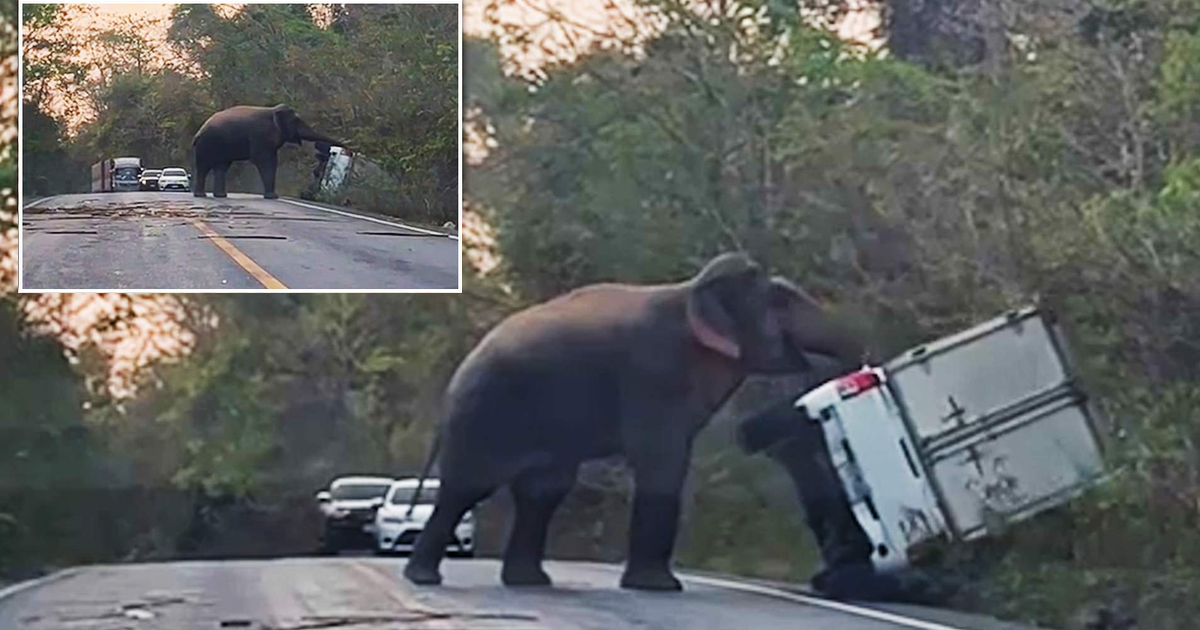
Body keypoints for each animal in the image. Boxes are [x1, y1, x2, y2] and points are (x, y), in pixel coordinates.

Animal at [189, 103, 345, 199]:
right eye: (296, 121)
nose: (346, 148)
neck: (272, 111)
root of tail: (198, 133)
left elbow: (272, 161)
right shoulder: (260, 135)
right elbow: (264, 161)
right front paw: (273, 197)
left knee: (222, 167)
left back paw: (220, 196)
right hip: (207, 144)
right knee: (204, 167)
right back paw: (201, 195)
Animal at [405, 250, 873, 590]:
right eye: (780, 301)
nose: (860, 371)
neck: (690, 291)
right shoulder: (653, 373)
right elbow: (663, 464)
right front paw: (661, 588)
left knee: (542, 491)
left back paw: (530, 583)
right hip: (486, 415)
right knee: (468, 489)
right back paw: (425, 579)